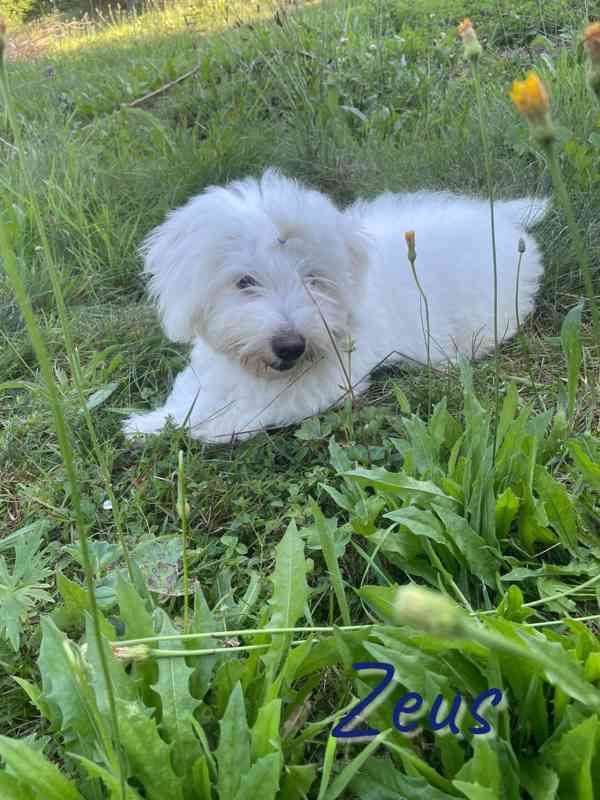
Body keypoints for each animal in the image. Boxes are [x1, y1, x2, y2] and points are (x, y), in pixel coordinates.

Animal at [124, 170, 548, 444]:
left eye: (313, 279)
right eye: (244, 282)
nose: (290, 347)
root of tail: (500, 218)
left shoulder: (322, 384)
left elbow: (239, 412)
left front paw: (169, 426)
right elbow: (193, 390)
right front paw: (153, 421)